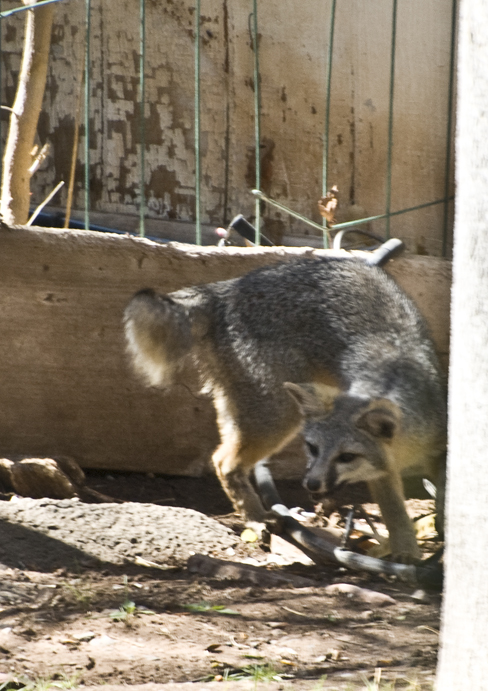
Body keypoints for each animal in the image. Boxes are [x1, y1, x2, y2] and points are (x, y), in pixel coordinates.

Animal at [124, 247, 446, 562]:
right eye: (312, 449)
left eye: (347, 457)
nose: (311, 485)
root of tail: (224, 291)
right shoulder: (382, 473)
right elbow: (396, 514)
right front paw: (406, 553)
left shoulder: (435, 452)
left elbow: (441, 500)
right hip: (278, 416)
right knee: (223, 461)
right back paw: (255, 519)